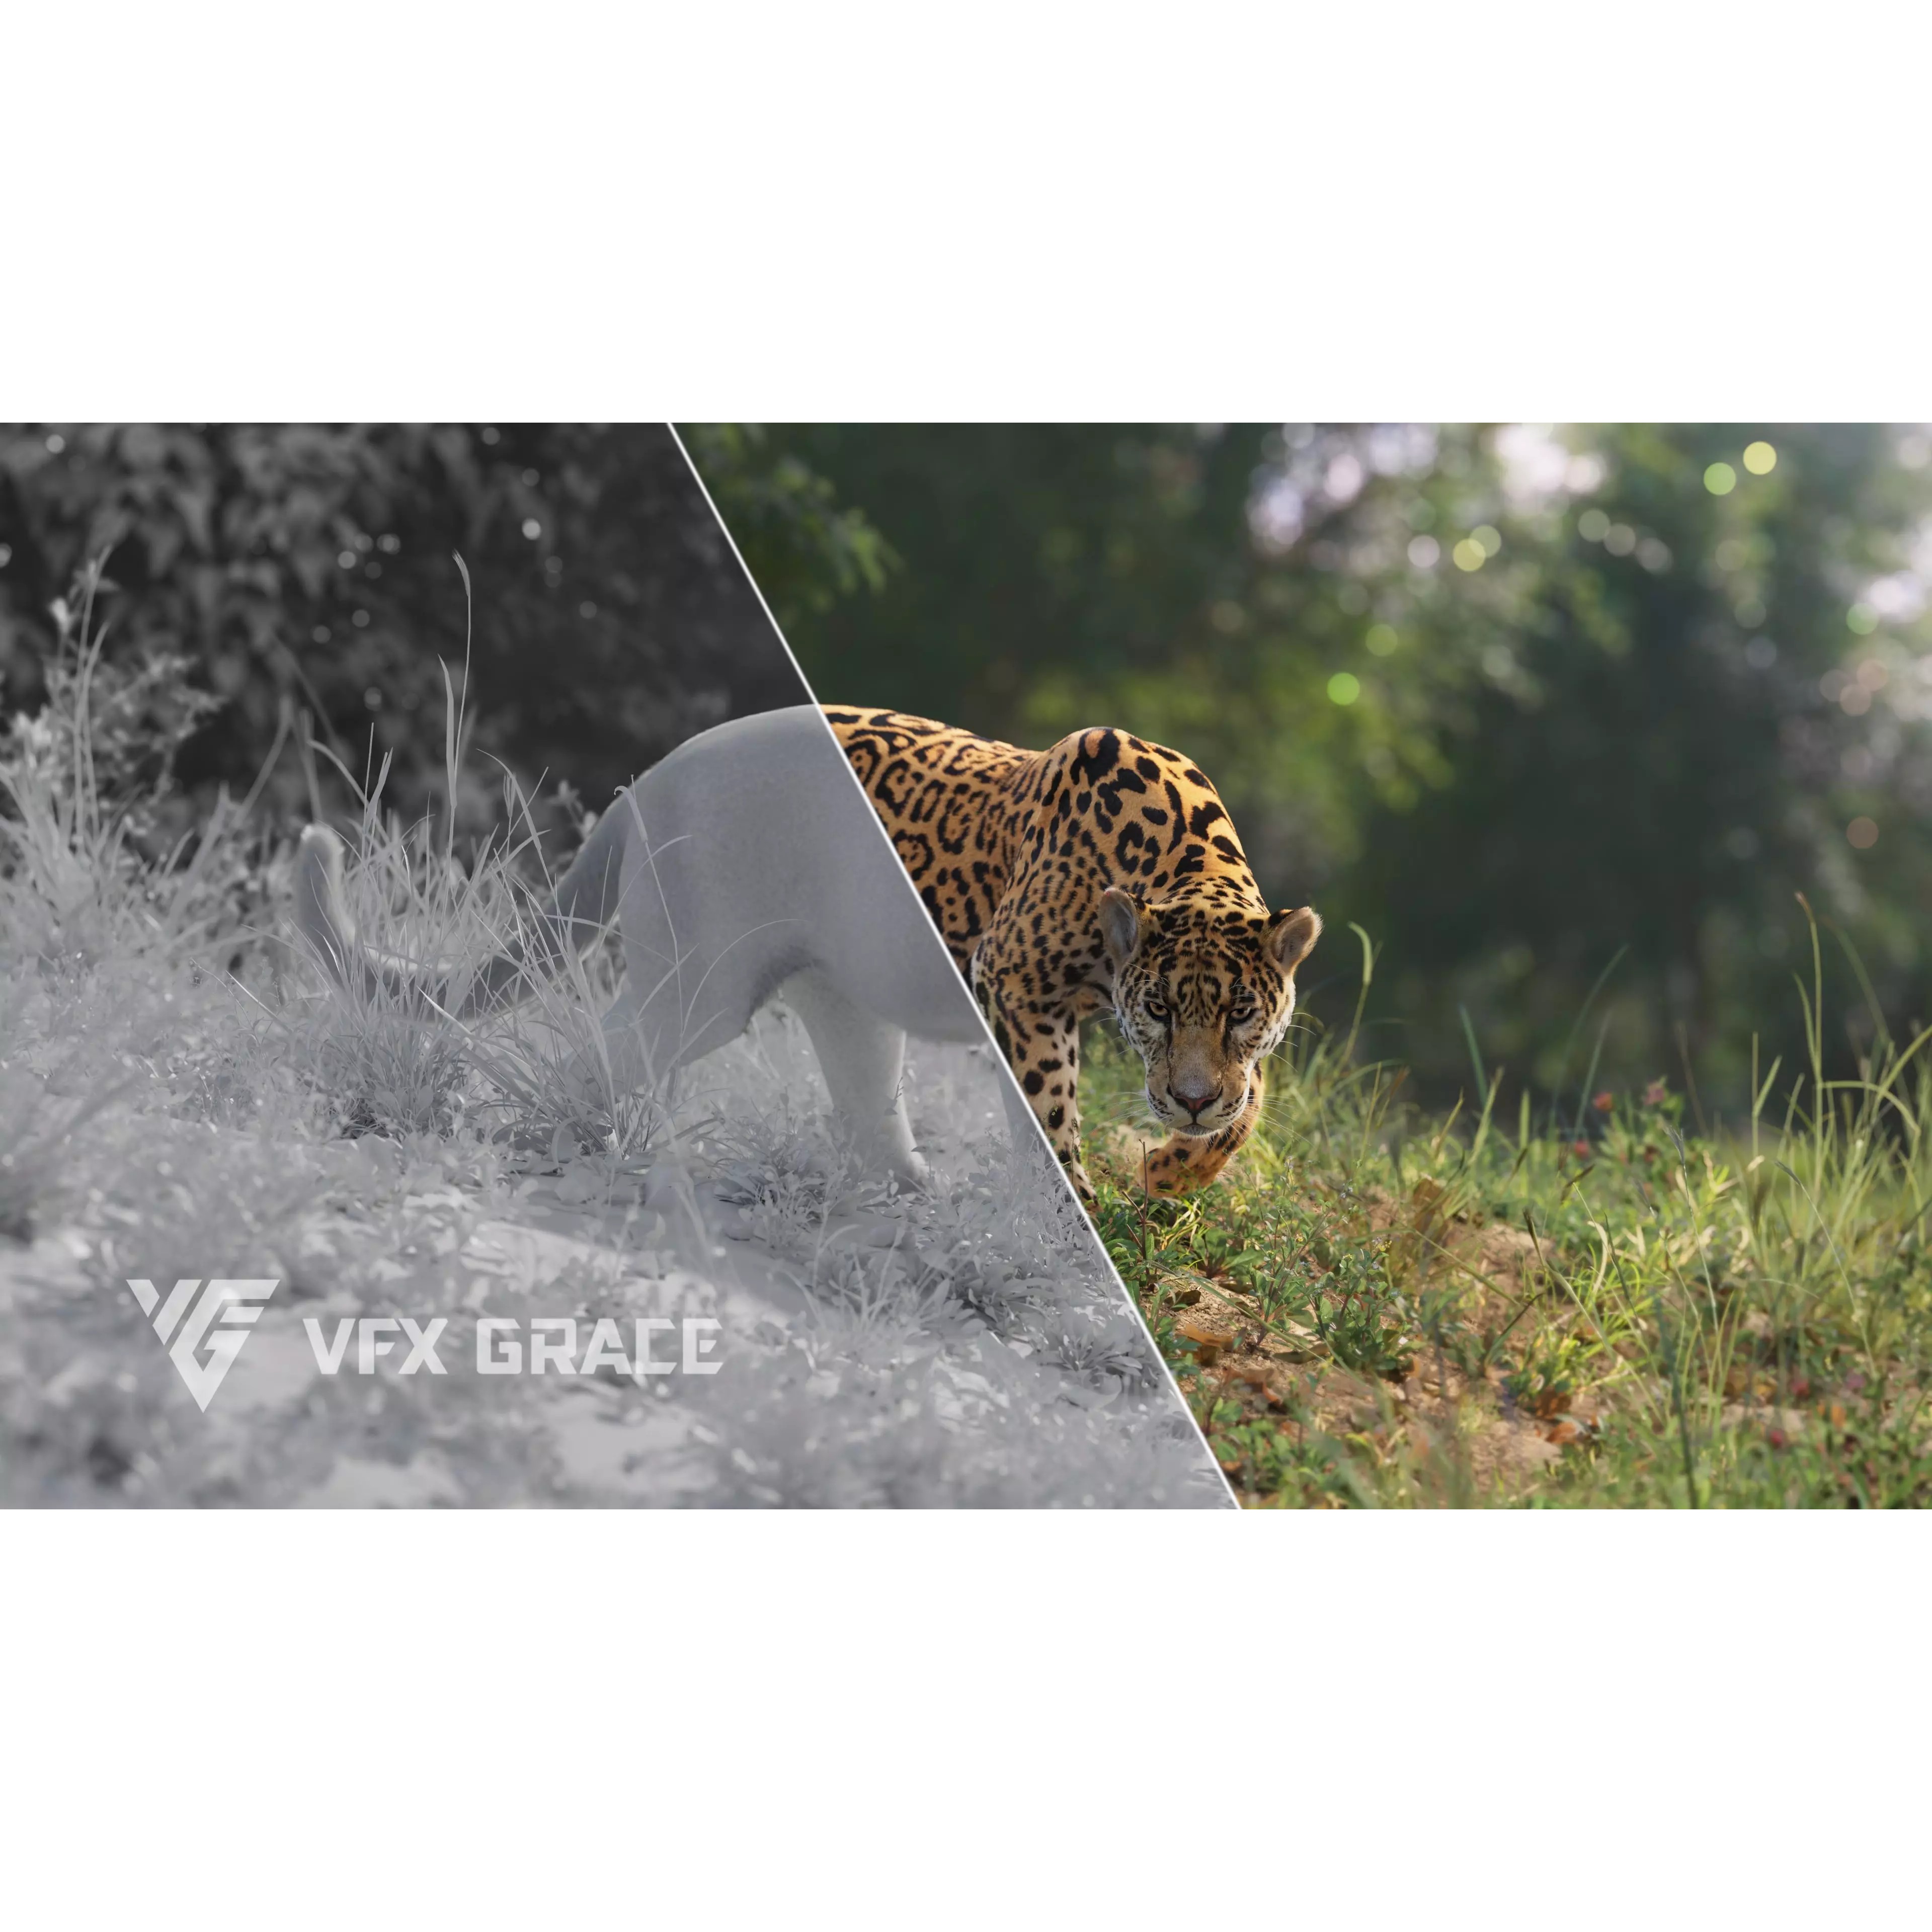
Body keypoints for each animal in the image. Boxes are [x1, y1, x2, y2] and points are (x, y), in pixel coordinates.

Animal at [824, 707, 1322, 1205]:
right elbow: (1047, 1105)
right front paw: (1074, 1204)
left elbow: (1247, 1099)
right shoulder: (1011, 982)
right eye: (1158, 1010)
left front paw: (1166, 1173)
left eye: (1240, 1013)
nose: (1193, 1103)